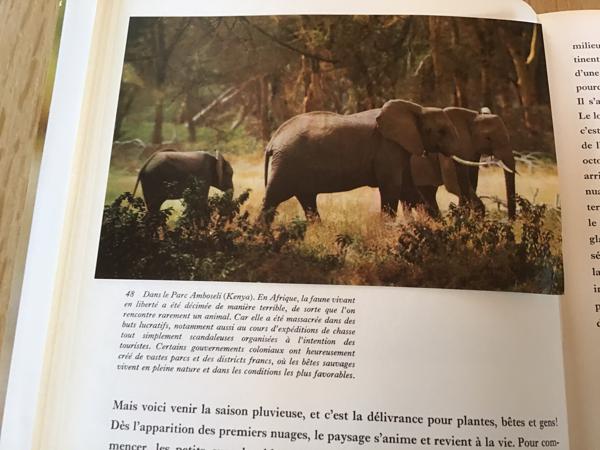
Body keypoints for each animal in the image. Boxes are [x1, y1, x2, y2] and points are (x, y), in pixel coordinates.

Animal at [260, 100, 462, 223]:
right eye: (441, 131)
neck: (418, 108)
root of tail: (273, 140)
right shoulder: (387, 148)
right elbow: (392, 188)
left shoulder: (400, 149)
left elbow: (409, 190)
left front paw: (440, 228)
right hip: (286, 163)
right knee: (273, 199)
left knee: (307, 199)